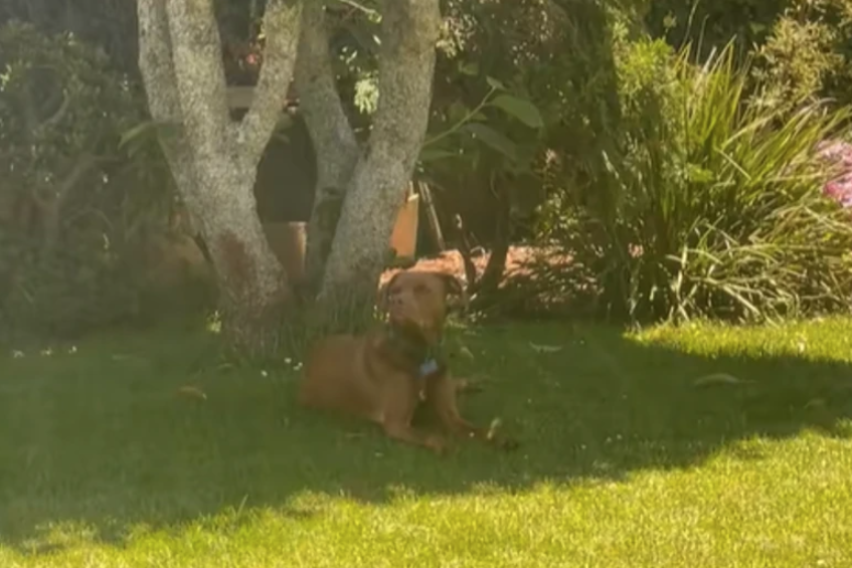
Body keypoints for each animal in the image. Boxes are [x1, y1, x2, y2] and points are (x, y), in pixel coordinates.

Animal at [298, 269, 517, 454]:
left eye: (422, 289)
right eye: (395, 290)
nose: (397, 301)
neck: (419, 352)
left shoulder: (450, 414)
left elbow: (476, 428)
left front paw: (498, 438)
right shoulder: (396, 423)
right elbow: (433, 437)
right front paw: (449, 446)